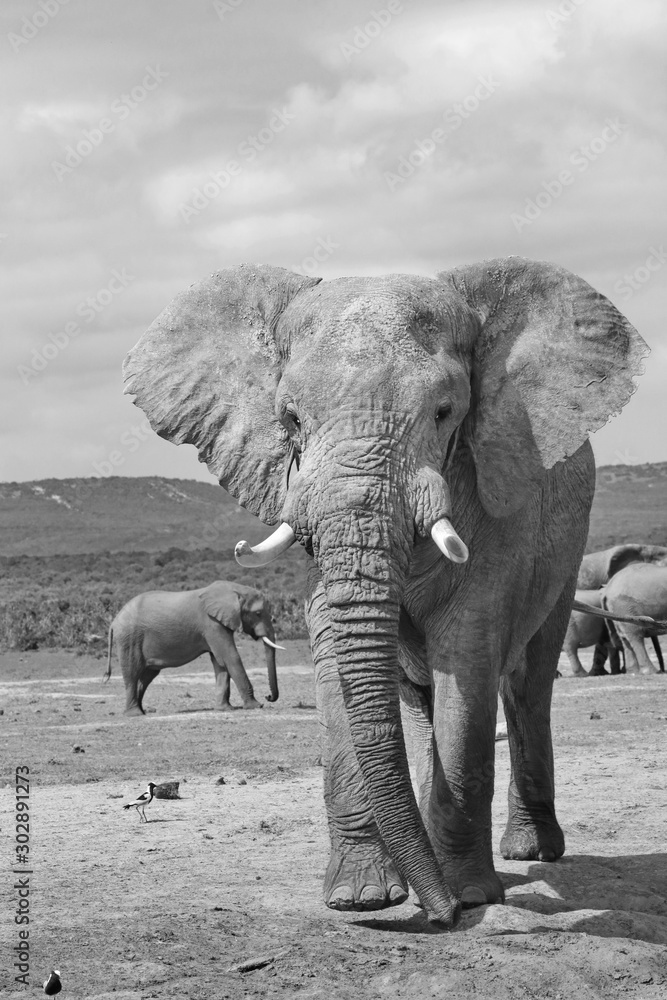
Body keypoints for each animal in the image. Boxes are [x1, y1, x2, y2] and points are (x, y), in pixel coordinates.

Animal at [105, 581, 282, 715]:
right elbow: (230, 656)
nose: (268, 696)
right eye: (258, 613)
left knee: (147, 675)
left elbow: (220, 662)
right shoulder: (211, 623)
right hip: (129, 638)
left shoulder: (216, 625)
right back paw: (134, 714)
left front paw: (225, 709)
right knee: (132, 673)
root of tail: (113, 622)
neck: (232, 589)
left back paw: (143, 711)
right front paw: (256, 706)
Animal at [123, 257, 647, 926]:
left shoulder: (497, 500)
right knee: (418, 699)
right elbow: (335, 654)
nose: (442, 917)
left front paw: (470, 896)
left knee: (527, 686)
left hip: (567, 552)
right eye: (290, 419)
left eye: (446, 412)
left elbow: (467, 661)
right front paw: (363, 898)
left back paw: (527, 853)